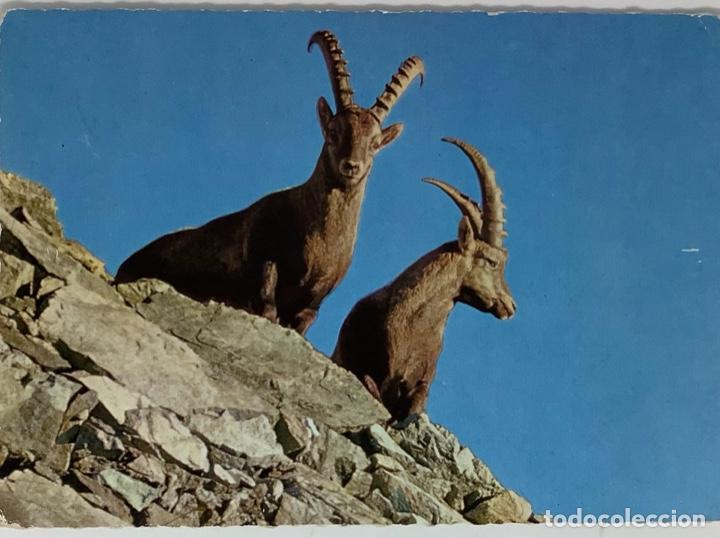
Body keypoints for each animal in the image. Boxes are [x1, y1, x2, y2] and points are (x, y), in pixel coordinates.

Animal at [115, 30, 424, 335]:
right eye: (334, 131)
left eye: (374, 143)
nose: (351, 166)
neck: (319, 241)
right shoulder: (264, 265)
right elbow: (267, 307)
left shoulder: (312, 306)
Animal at [331, 137, 516, 423]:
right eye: (491, 260)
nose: (510, 305)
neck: (408, 327)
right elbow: (371, 383)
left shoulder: (423, 380)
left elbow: (417, 401)